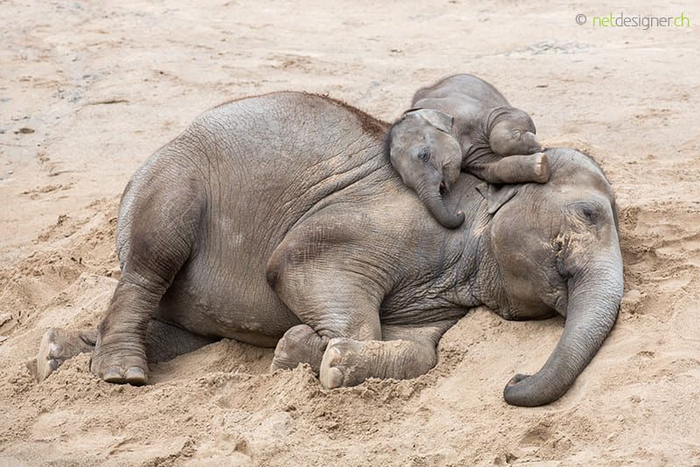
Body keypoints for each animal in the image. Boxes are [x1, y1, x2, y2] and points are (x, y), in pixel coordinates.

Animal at [34, 91, 623, 407]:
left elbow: (422, 349)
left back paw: (56, 353)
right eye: (589, 214)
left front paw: (306, 350)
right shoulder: (375, 220)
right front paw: (321, 354)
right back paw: (119, 373)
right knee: (150, 265)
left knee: (181, 328)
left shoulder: (441, 294)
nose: (515, 378)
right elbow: (297, 262)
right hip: (174, 182)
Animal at [389, 74, 549, 229]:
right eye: (404, 181)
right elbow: (493, 168)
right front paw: (541, 165)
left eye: (424, 155)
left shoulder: (470, 110)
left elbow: (507, 118)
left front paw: (537, 145)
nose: (460, 213)